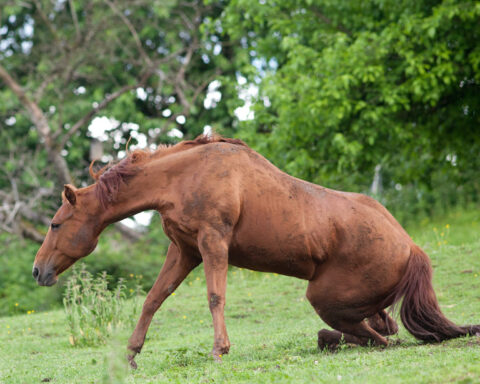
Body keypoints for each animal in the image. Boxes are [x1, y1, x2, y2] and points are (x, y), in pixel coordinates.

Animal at [34, 135, 480, 366]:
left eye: (55, 224)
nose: (39, 271)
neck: (184, 176)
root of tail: (411, 248)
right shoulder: (184, 251)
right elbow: (153, 299)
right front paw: (130, 354)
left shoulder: (213, 242)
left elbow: (215, 297)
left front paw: (220, 349)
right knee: (381, 329)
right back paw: (329, 340)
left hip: (323, 297)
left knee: (381, 339)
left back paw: (331, 340)